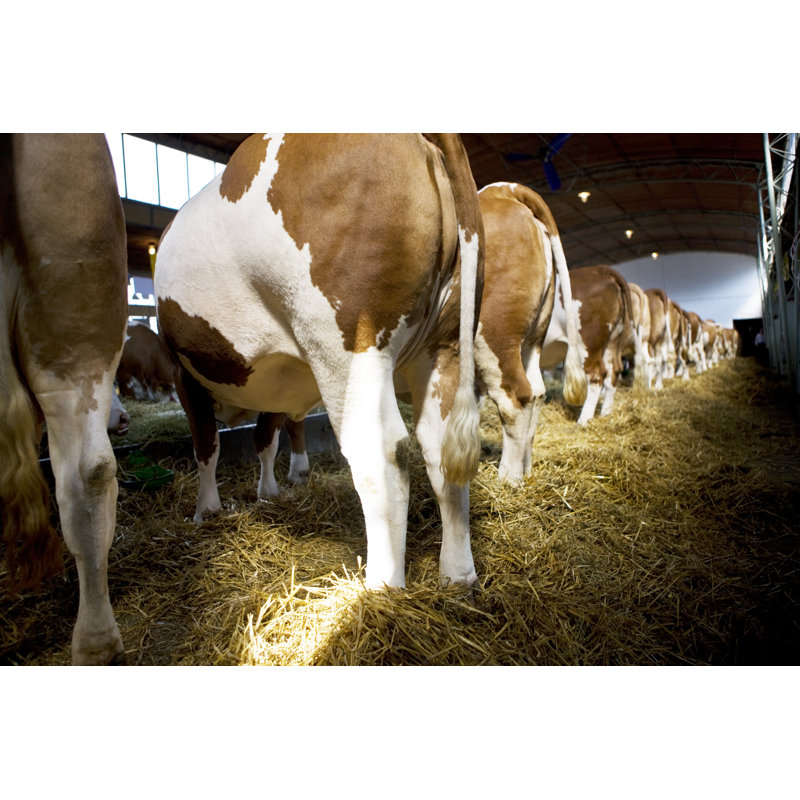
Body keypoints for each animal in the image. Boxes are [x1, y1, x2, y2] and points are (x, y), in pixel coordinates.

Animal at [155, 134, 483, 590]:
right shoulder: (276, 384)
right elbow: (264, 440)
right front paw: (268, 494)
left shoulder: (184, 375)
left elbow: (207, 447)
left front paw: (207, 511)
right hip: (443, 345)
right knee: (441, 449)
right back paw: (457, 575)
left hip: (350, 345)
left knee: (381, 454)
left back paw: (381, 587)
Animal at [473, 182, 586, 484]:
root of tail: (505, 190)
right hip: (533, 337)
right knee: (537, 391)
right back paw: (525, 469)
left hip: (493, 334)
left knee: (515, 397)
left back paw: (508, 478)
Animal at [543, 265, 646, 425]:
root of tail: (600, 270)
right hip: (612, 340)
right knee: (613, 371)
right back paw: (606, 413)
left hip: (587, 343)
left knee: (596, 375)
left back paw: (583, 420)